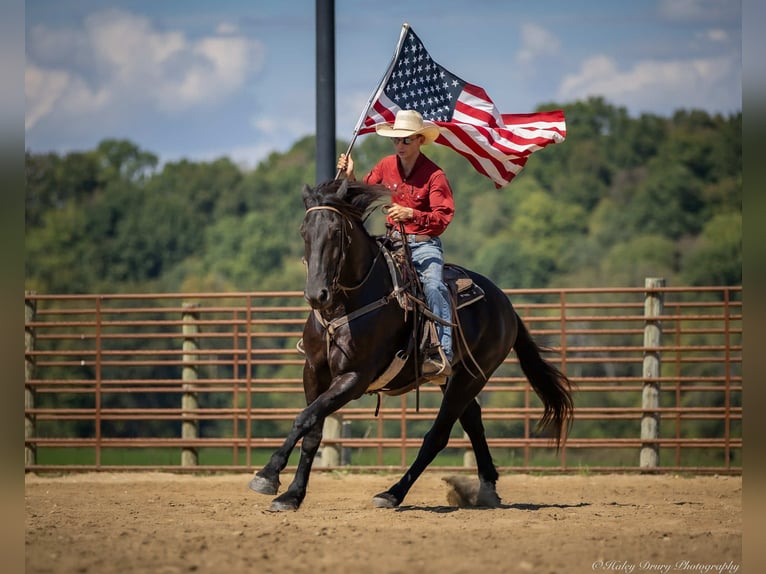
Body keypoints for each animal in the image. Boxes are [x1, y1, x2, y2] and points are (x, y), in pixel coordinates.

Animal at [248, 178, 574, 511]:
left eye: (336, 231)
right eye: (304, 231)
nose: (317, 294)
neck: (345, 306)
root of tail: (506, 306)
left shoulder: (354, 378)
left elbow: (305, 417)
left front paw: (267, 474)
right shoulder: (313, 372)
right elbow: (312, 429)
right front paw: (292, 494)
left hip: (472, 377)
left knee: (438, 435)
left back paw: (393, 493)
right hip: (456, 378)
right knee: (473, 422)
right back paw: (487, 490)